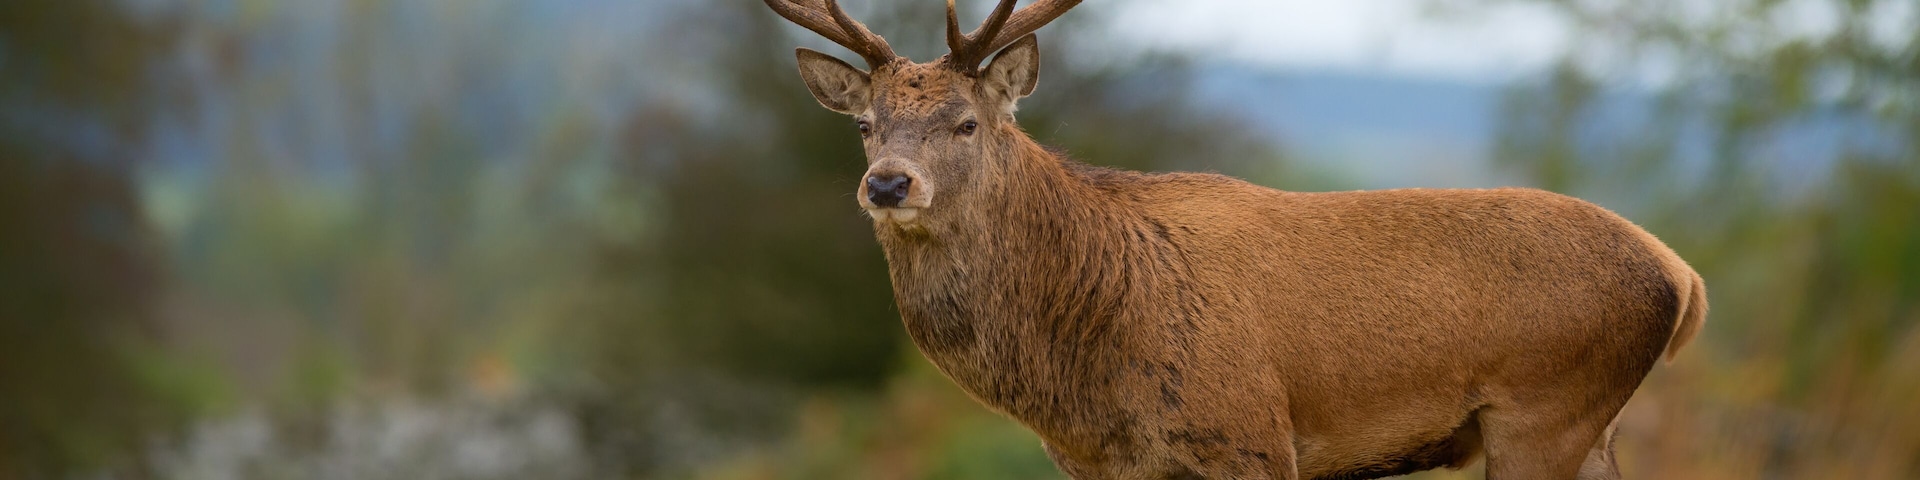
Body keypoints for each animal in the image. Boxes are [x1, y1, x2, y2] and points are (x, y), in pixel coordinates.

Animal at [762, 1, 1707, 478]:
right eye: (866, 126)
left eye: (964, 122)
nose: (889, 184)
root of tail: (1682, 277)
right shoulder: (1097, 469)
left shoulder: (1250, 434)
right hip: (1591, 428)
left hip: (1546, 412)